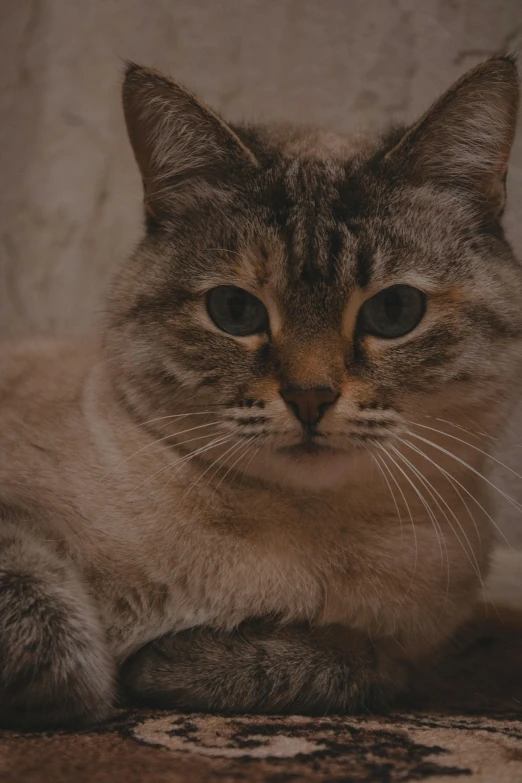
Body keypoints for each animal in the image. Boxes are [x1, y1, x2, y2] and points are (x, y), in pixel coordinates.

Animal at [1, 55, 520, 728]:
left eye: (395, 312)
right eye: (235, 311)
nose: (309, 398)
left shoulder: (409, 652)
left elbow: (356, 667)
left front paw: (175, 663)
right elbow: (64, 662)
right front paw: (106, 680)